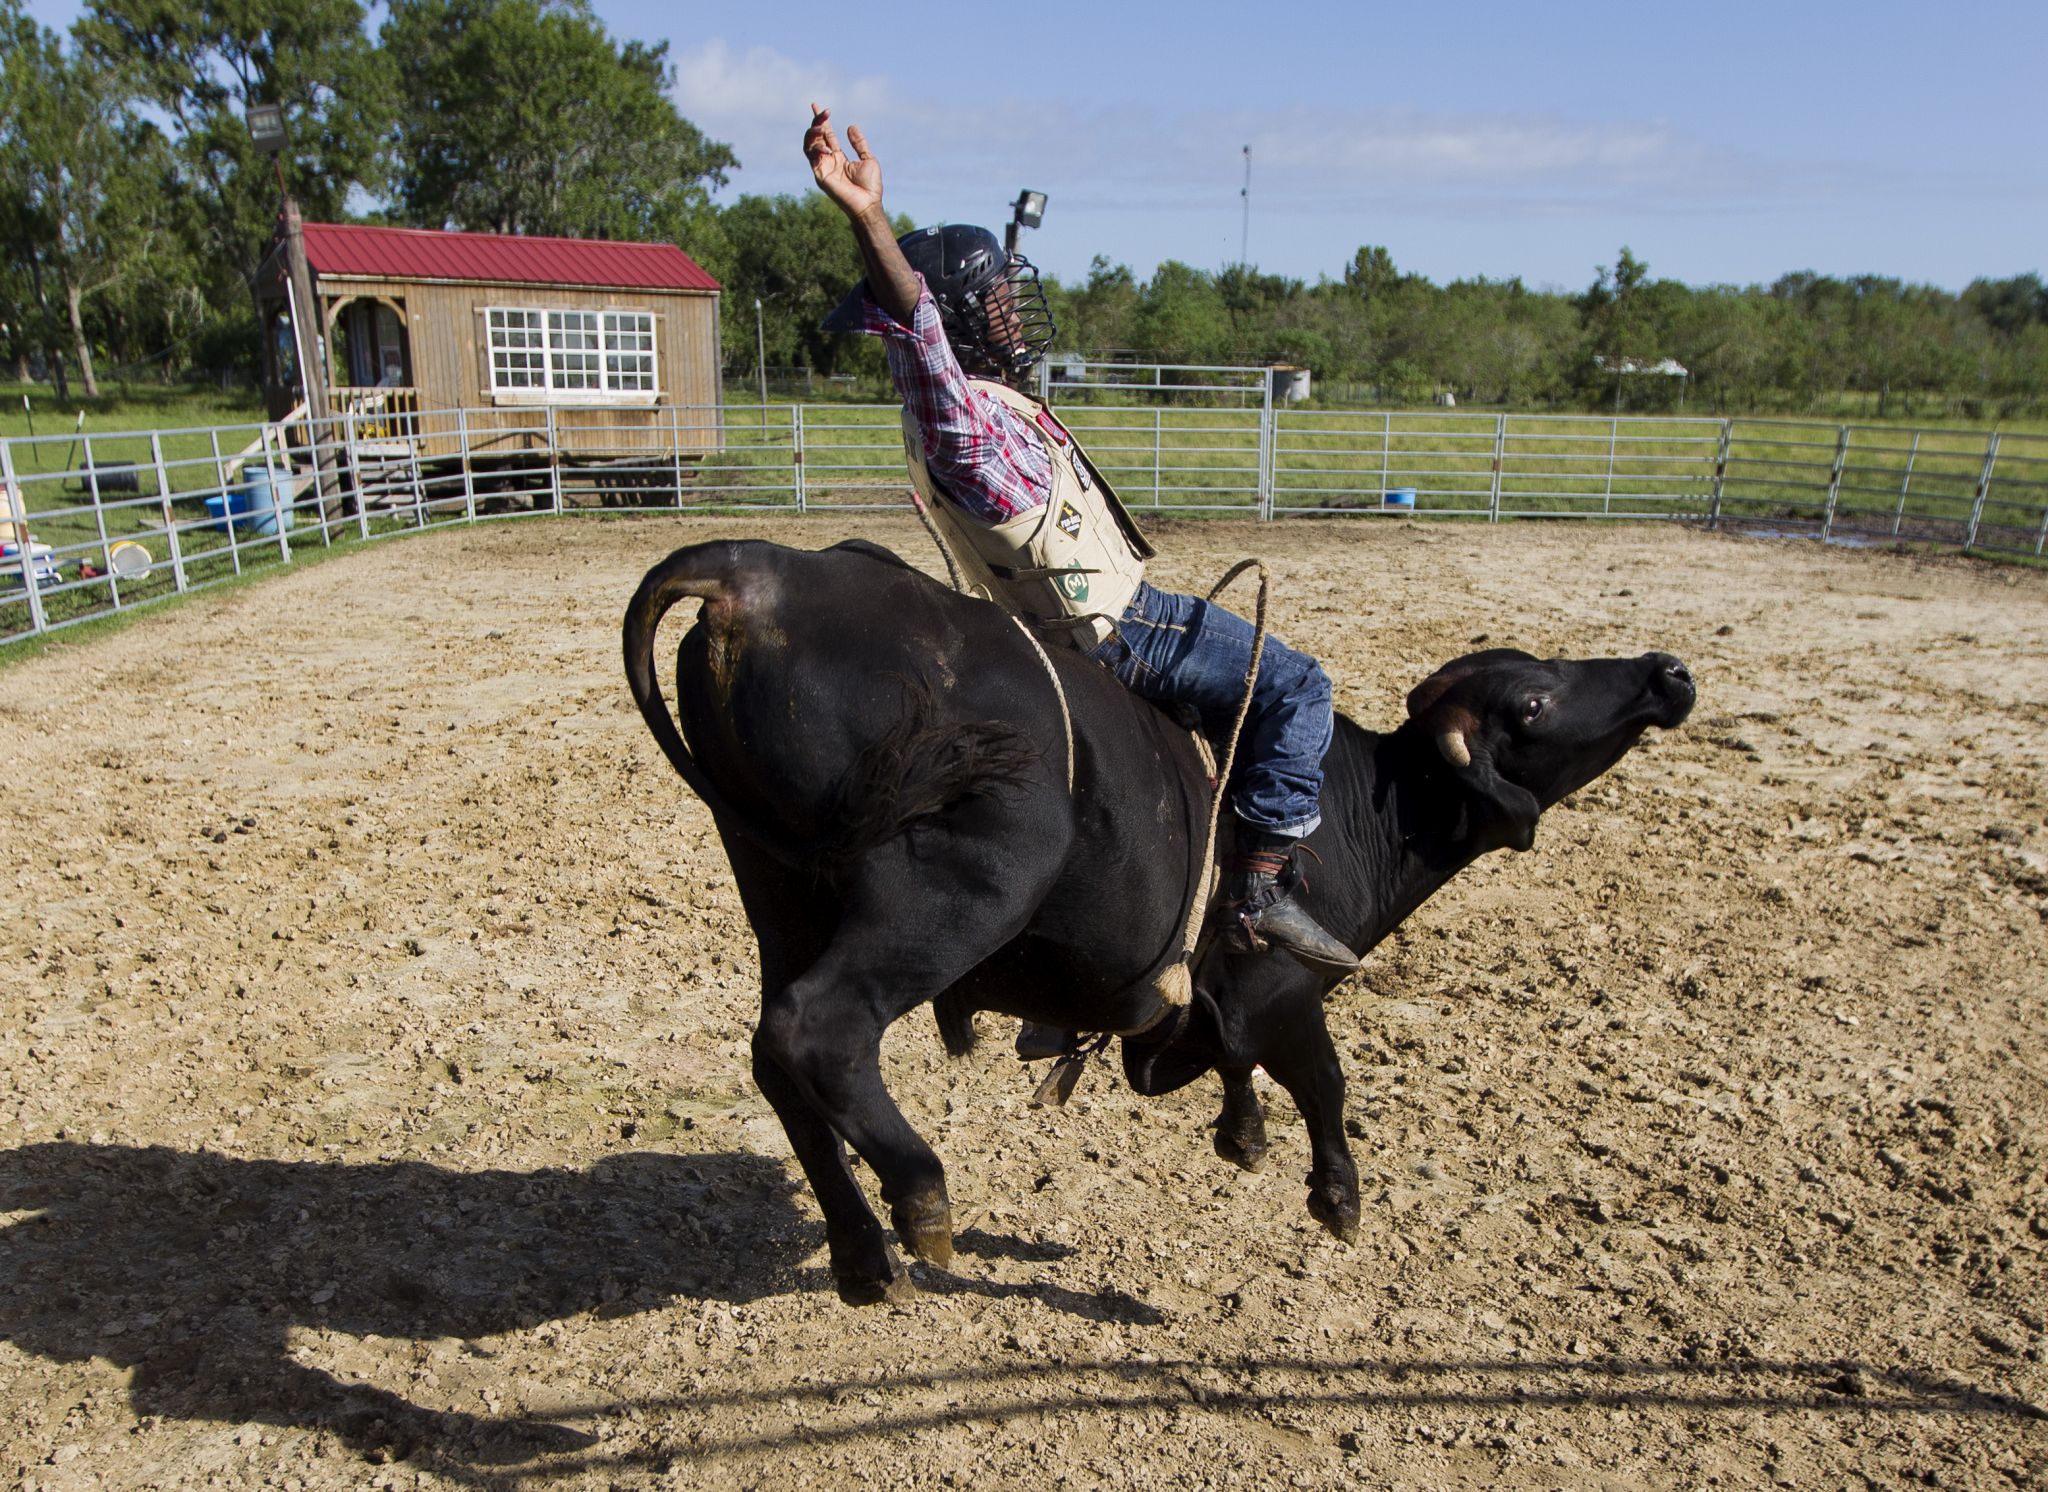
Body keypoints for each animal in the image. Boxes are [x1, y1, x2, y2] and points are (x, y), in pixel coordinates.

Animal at [618, 540, 1695, 1301]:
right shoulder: (1280, 988)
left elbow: (1232, 1063)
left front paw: (1242, 1133)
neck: (1356, 813)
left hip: (779, 891)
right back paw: (919, 1198)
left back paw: (860, 1256)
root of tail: (752, 570)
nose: (1665, 672)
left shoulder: (1213, 1005)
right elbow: (1322, 1077)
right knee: (818, 1033)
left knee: (776, 1058)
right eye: (1533, 700)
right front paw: (1336, 1195)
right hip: (956, 884)